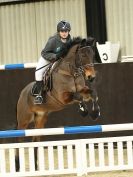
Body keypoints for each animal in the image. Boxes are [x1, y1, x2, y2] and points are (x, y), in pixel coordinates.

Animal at [15, 36, 100, 171]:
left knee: (35, 139)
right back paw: (18, 166)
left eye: (92, 55)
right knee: (19, 140)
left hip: (40, 119)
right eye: (82, 55)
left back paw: (36, 167)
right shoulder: (63, 97)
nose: (91, 77)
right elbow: (77, 96)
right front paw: (84, 111)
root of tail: (22, 94)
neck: (70, 72)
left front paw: (95, 113)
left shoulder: (84, 91)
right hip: (24, 120)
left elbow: (92, 94)